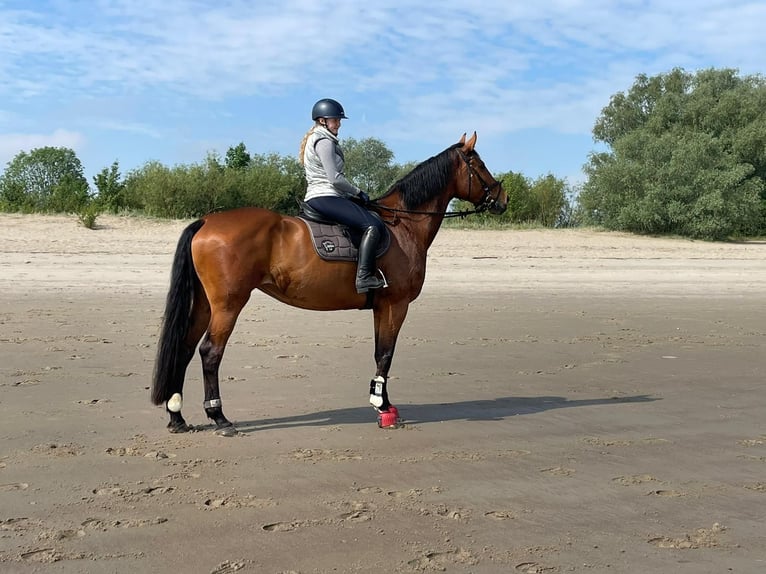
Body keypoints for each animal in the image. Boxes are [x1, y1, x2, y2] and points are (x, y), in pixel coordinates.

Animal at [150, 132, 508, 435]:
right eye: (480, 165)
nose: (502, 198)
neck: (403, 224)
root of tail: (206, 222)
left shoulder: (381, 306)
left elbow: (379, 352)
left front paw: (383, 402)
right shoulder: (397, 304)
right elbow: (386, 354)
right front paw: (382, 408)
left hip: (204, 304)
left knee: (184, 348)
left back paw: (177, 417)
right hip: (228, 304)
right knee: (210, 352)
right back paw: (220, 418)